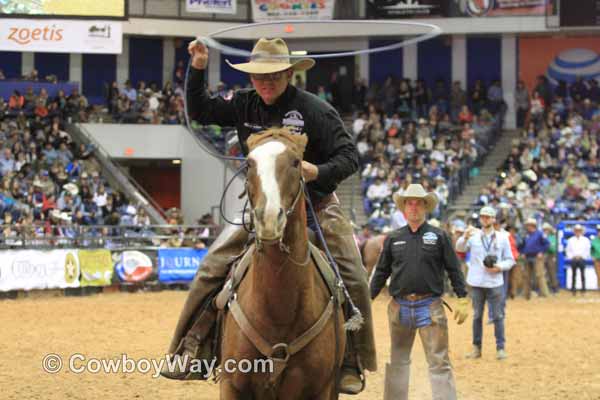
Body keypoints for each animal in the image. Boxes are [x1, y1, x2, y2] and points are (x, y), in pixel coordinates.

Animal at [218, 130, 344, 398]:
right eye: (248, 163)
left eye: (296, 162)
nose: (267, 218)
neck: (279, 310)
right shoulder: (231, 384)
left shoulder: (321, 388)